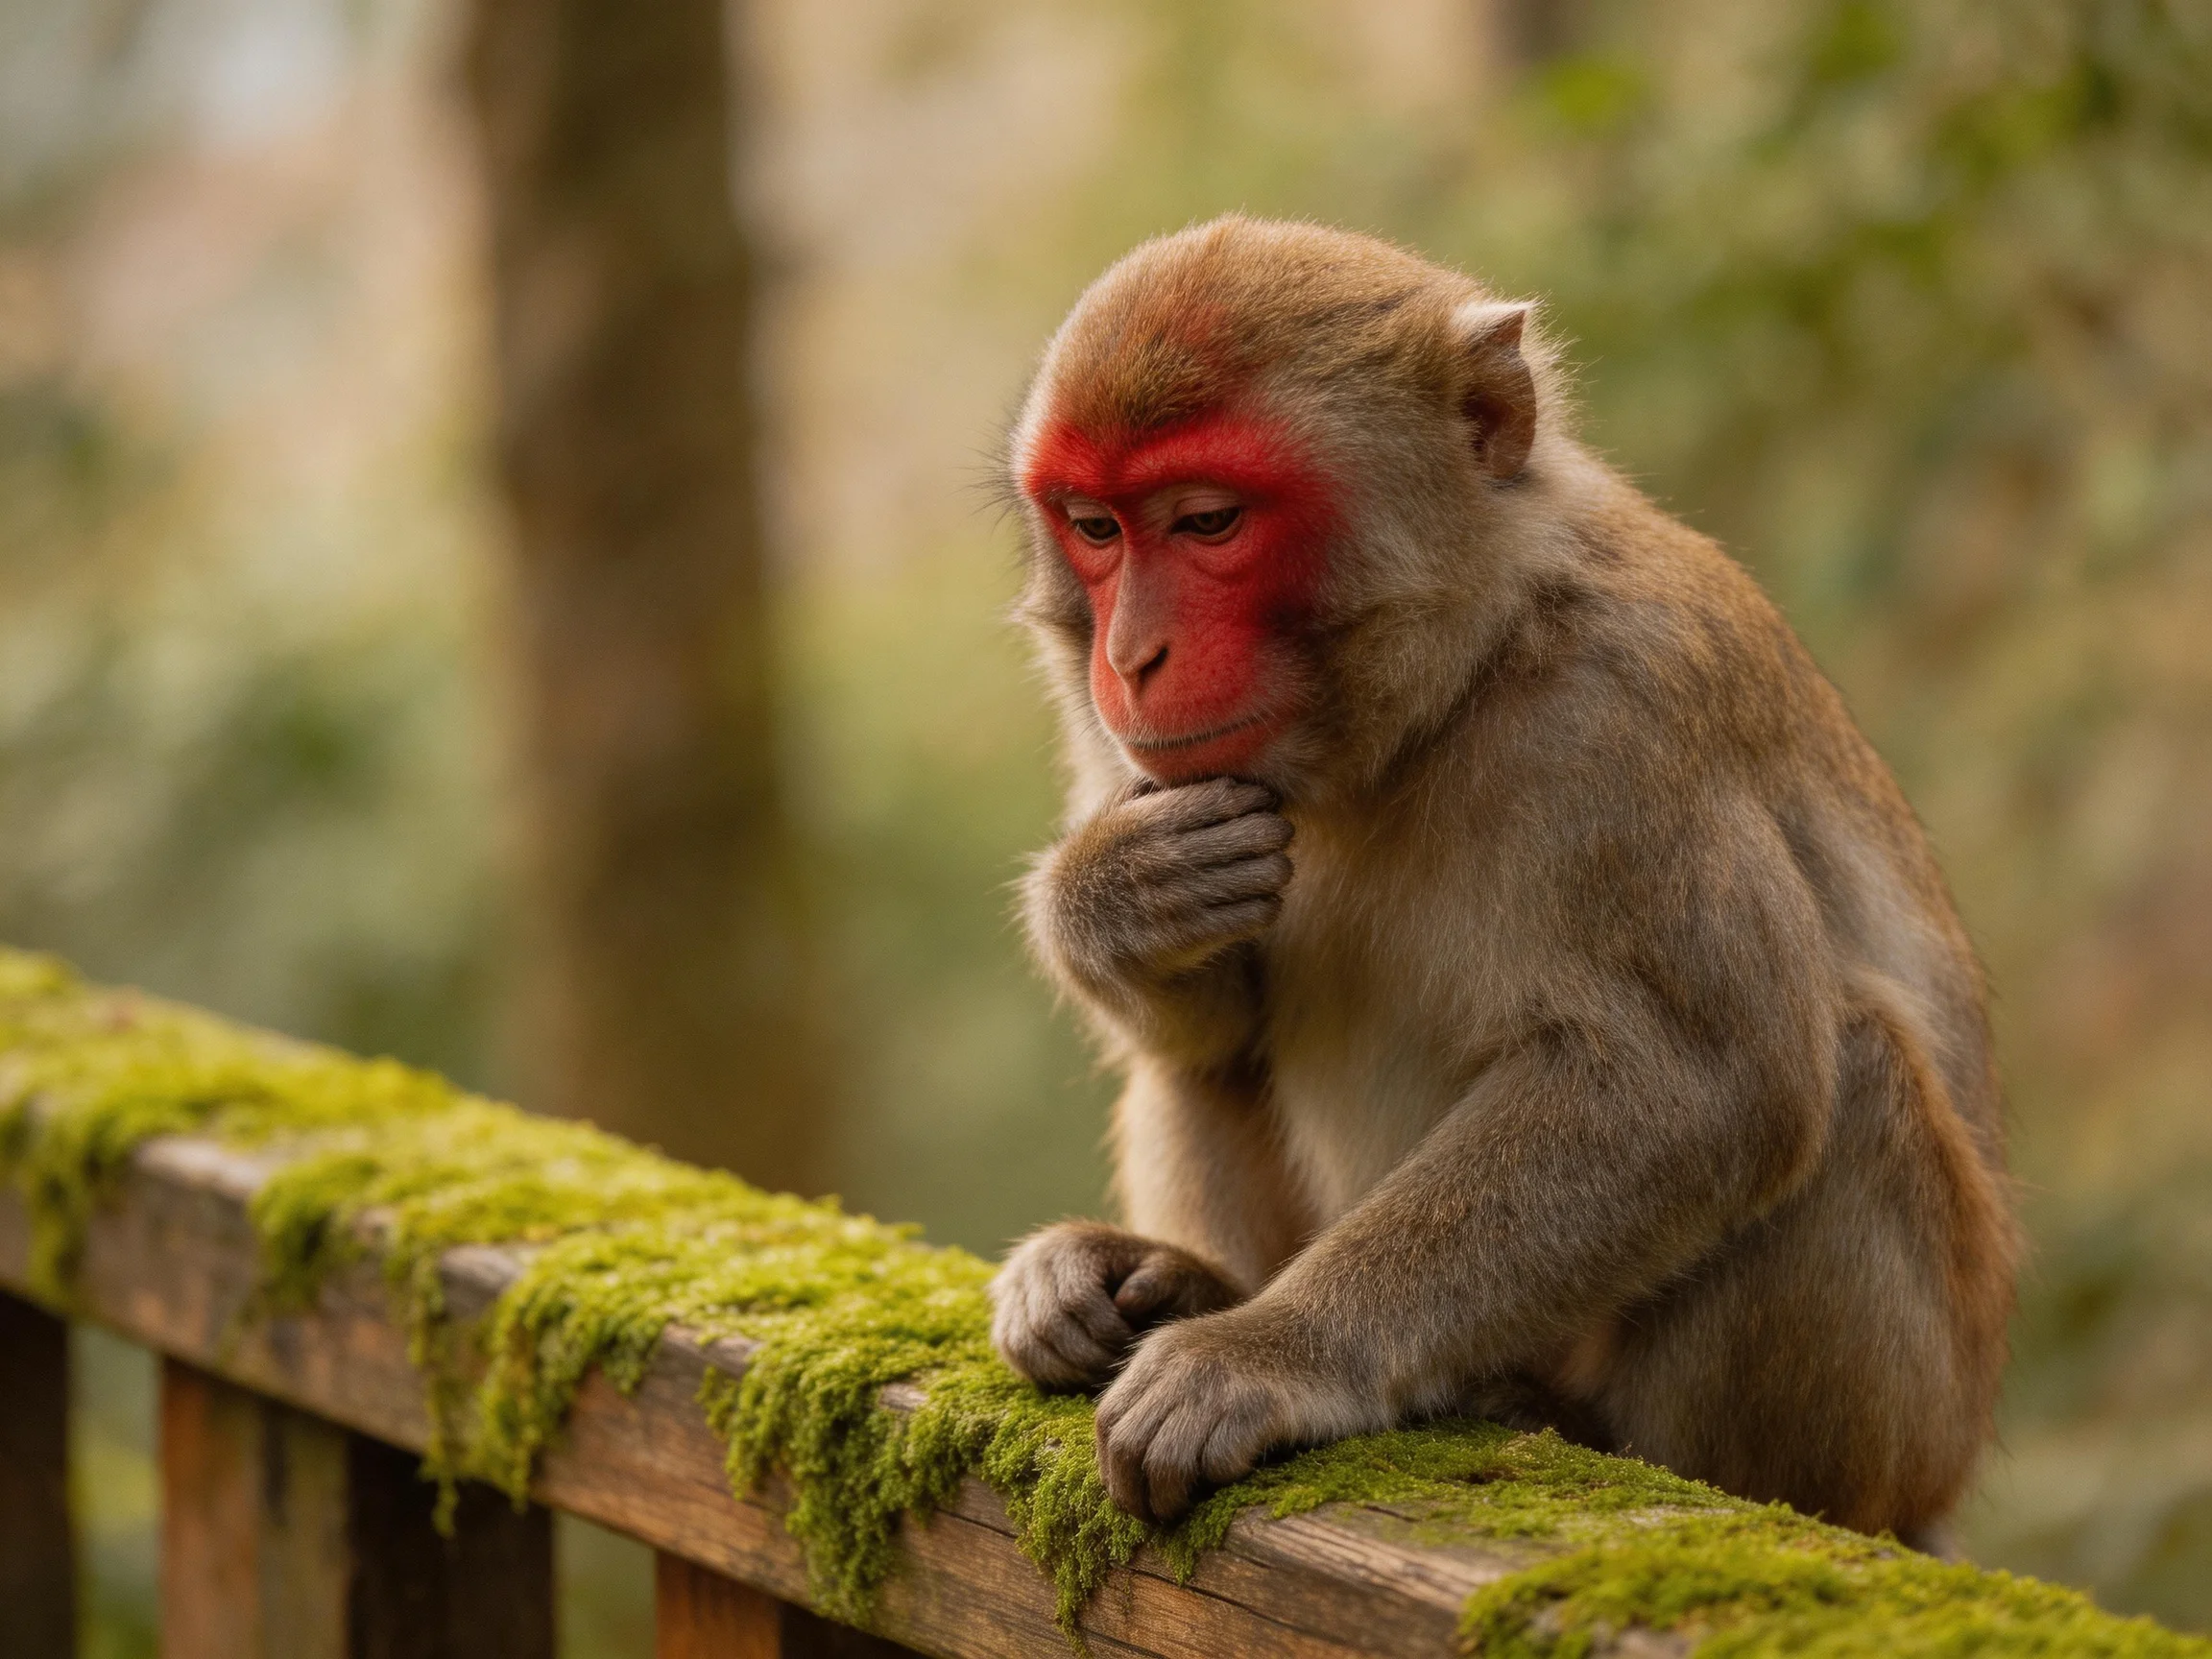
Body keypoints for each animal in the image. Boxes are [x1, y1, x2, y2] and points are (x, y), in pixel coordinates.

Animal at [987, 215, 2018, 1547]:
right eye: (1098, 530)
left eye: (1207, 521)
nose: (1130, 658)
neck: (1449, 685)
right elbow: (1214, 1021)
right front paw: (1112, 898)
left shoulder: (1619, 708)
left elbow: (1700, 1081)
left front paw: (1274, 1350)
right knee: (1198, 1064)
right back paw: (1163, 1279)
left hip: (1911, 1427)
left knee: (1850, 1068)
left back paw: (1579, 1426)